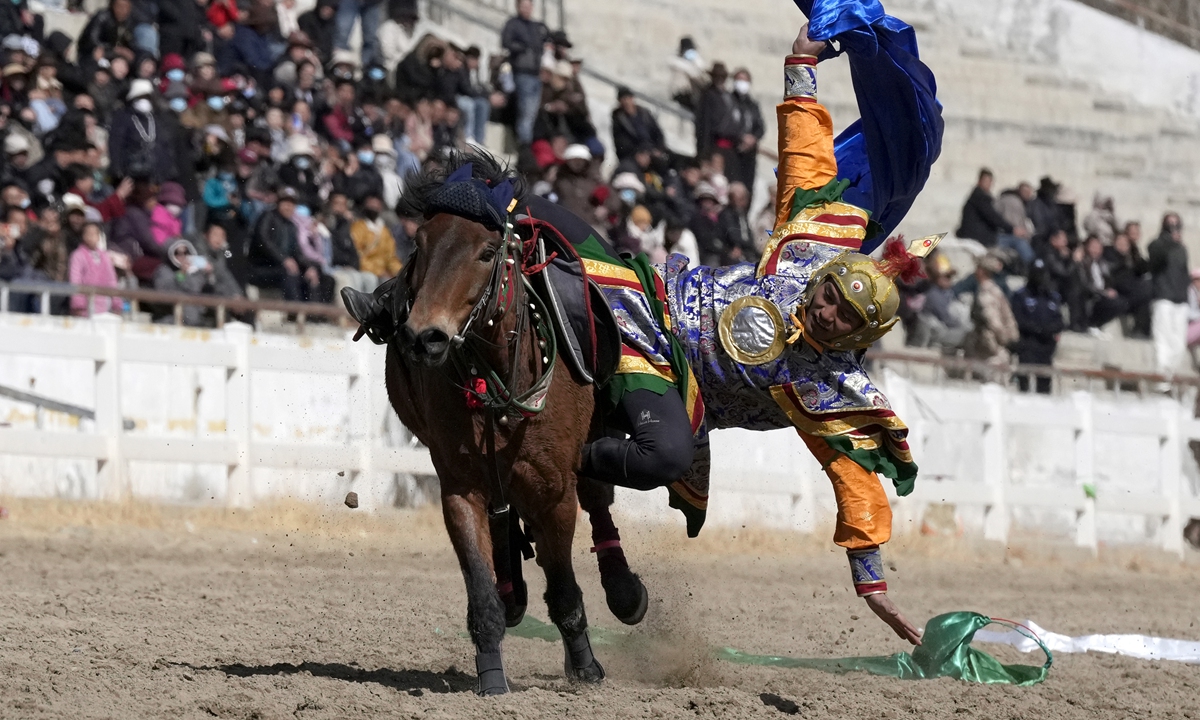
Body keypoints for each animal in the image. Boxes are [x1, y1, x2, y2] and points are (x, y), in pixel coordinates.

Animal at [381, 153, 643, 695]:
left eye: (486, 252)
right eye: (420, 245)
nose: (423, 336)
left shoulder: (555, 489)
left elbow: (564, 590)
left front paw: (586, 667)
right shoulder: (459, 486)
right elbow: (481, 591)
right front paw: (492, 675)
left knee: (597, 500)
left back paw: (623, 591)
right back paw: (513, 591)